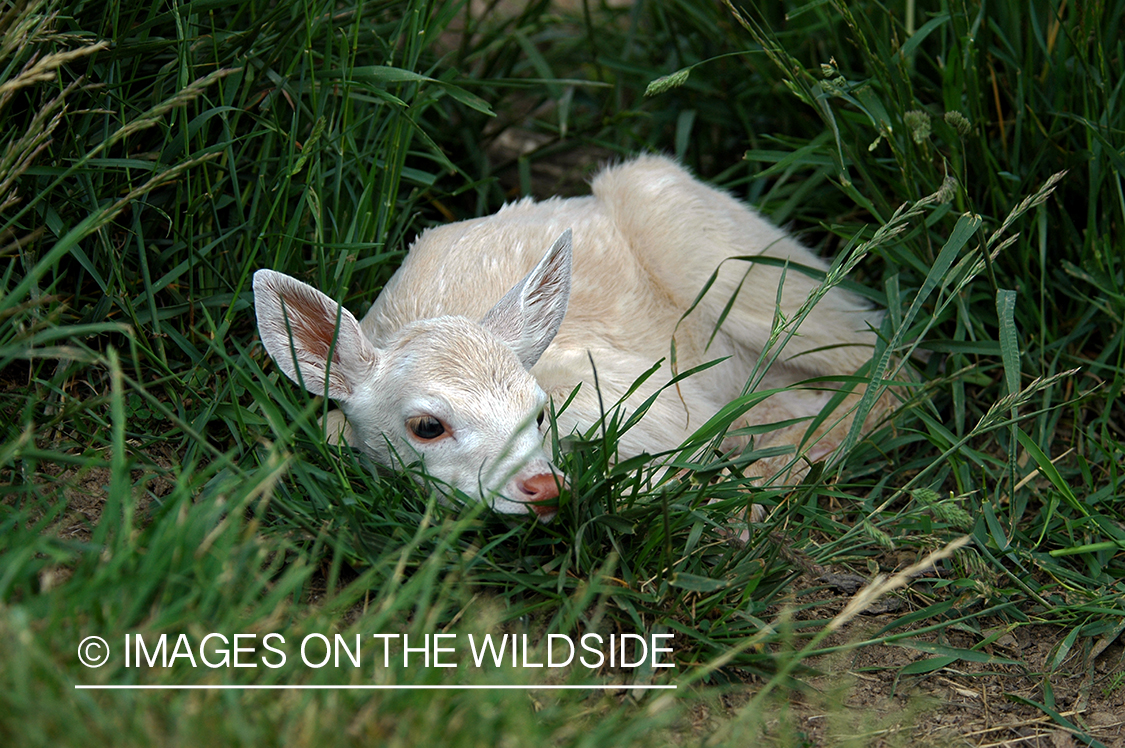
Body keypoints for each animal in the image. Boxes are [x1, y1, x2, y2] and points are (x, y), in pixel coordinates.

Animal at [253, 155, 883, 523]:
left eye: (539, 412)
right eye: (427, 426)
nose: (544, 487)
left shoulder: (656, 398)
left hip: (730, 255)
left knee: (882, 357)